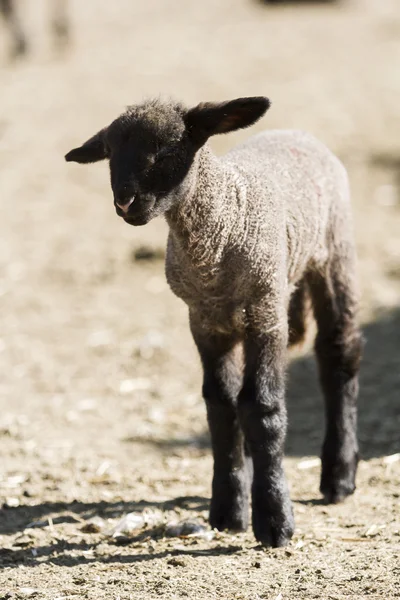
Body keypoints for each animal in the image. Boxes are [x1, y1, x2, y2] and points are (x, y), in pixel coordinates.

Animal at [65, 96, 362, 548]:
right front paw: (228, 509)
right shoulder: (205, 322)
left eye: (167, 148)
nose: (124, 203)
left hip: (334, 252)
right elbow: (220, 407)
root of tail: (297, 133)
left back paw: (339, 477)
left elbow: (262, 408)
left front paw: (274, 520)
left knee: (337, 356)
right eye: (109, 152)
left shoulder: (266, 314)